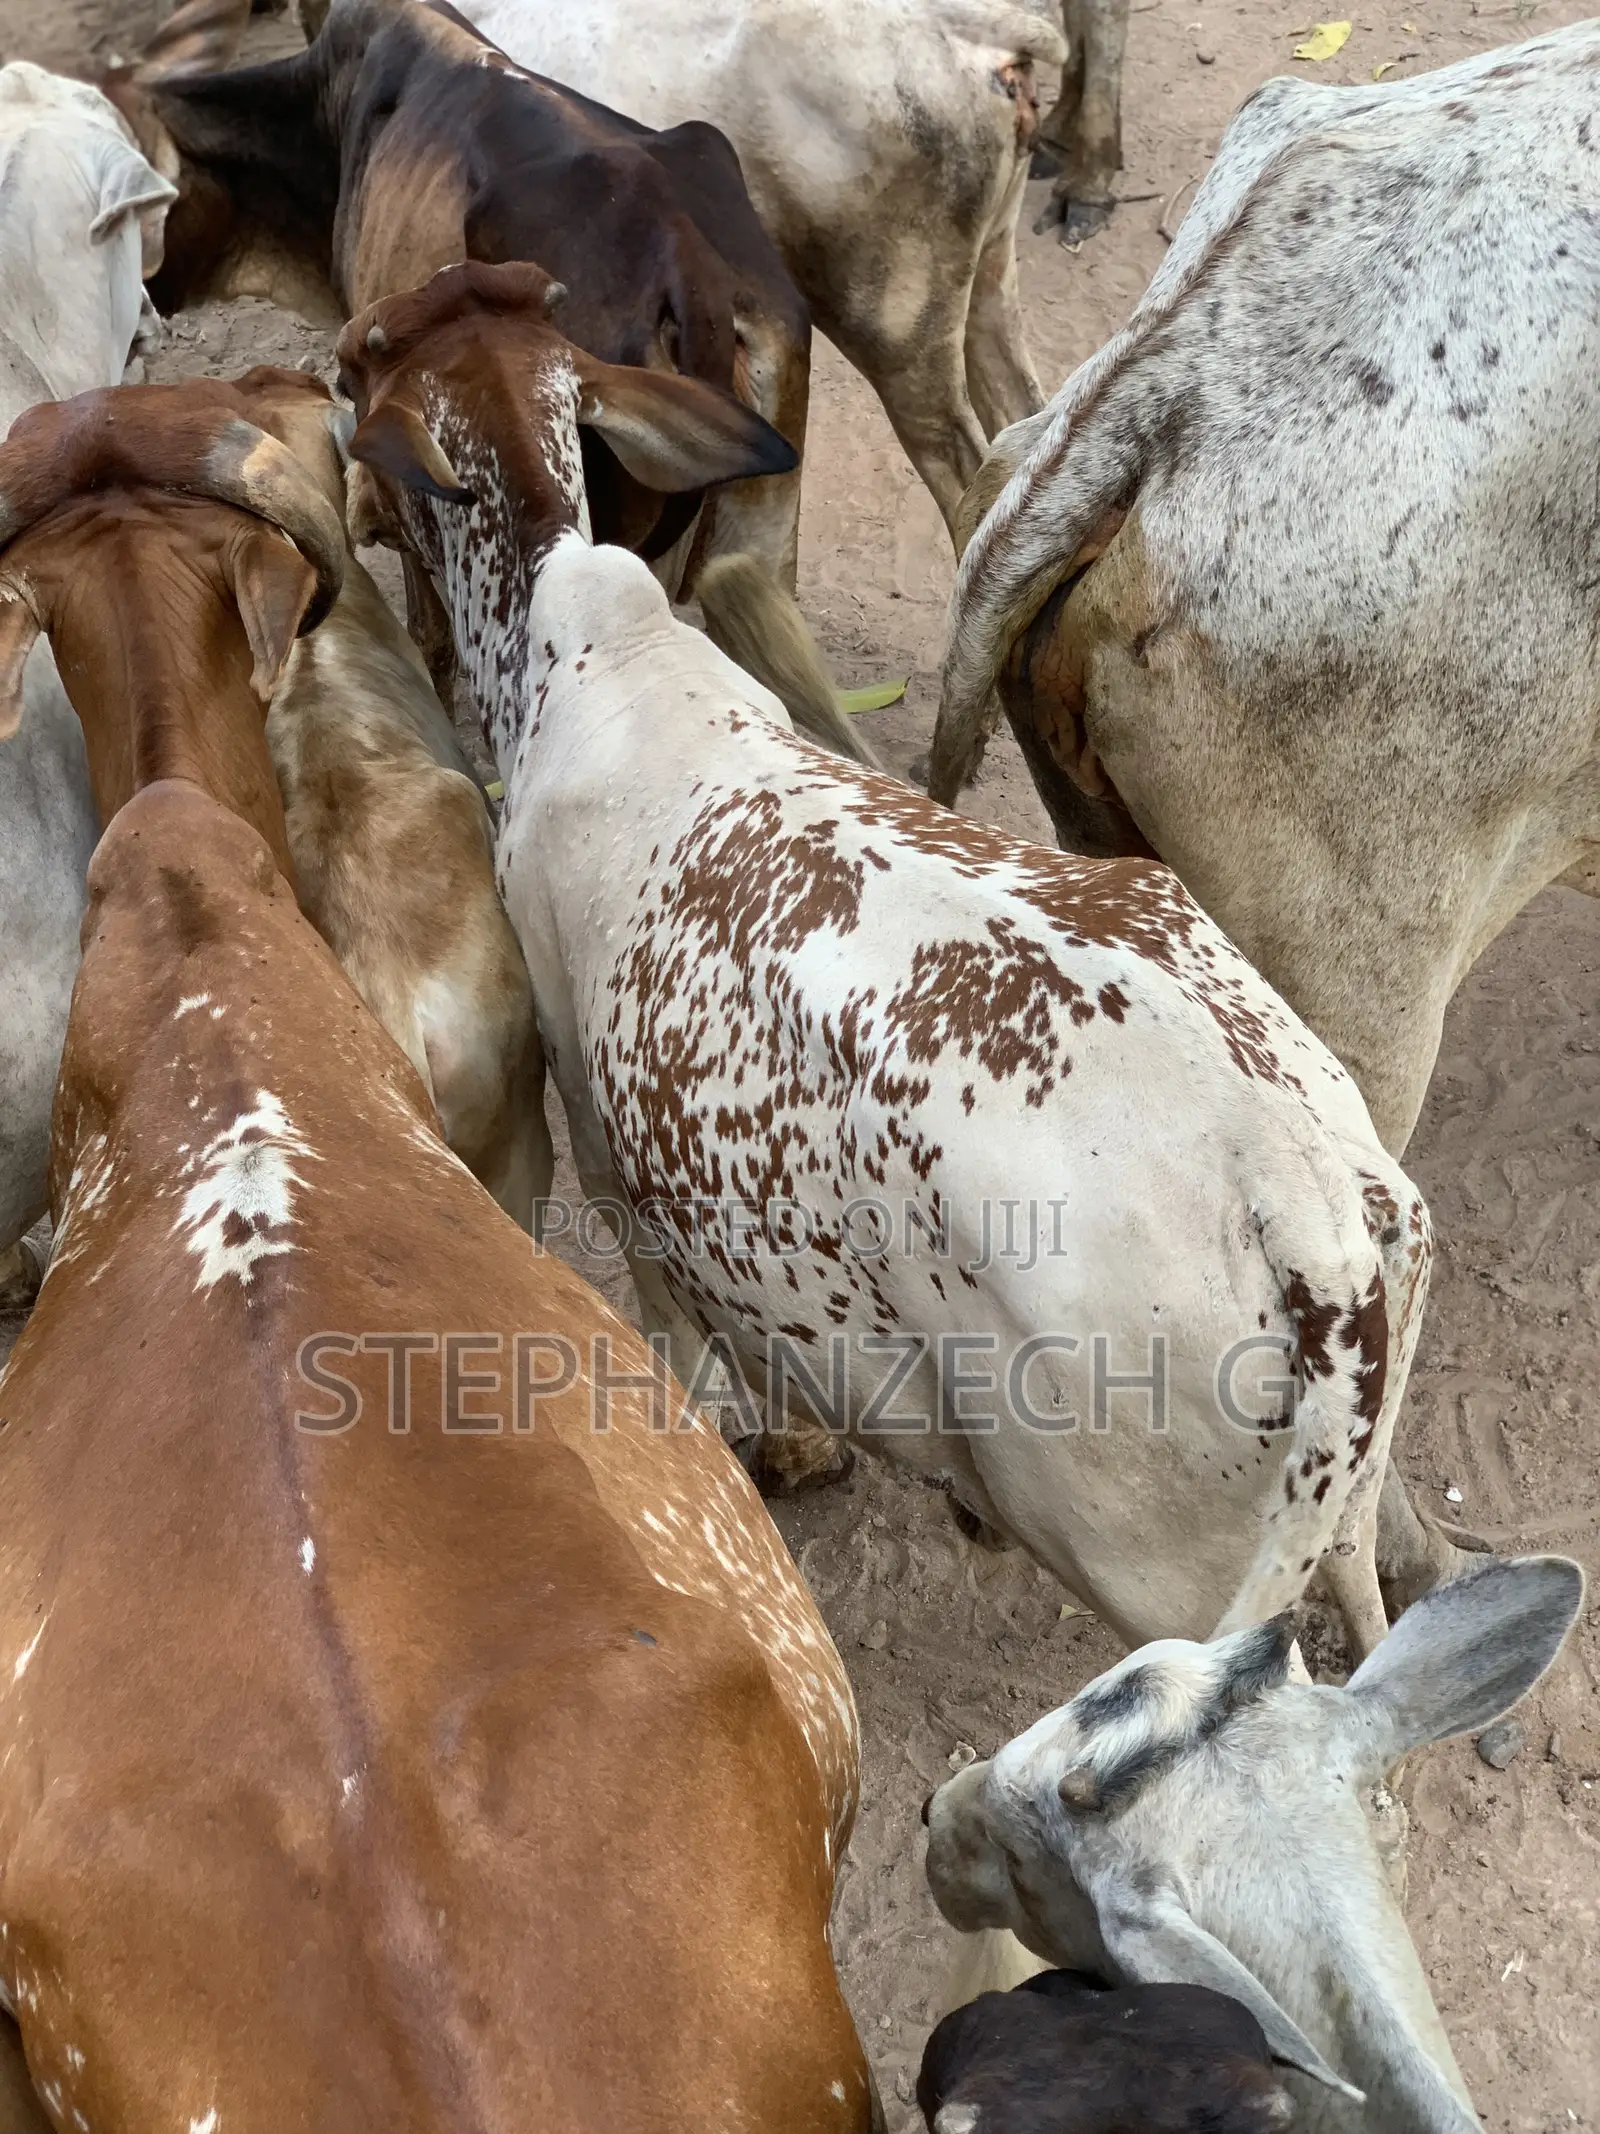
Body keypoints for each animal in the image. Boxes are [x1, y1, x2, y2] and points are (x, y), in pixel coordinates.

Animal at [335, 257, 1435, 1663]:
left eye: (354, 367)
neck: (585, 650)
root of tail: (1304, 1213)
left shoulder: (604, 1143)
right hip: (1337, 1511)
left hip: (1154, 1583)